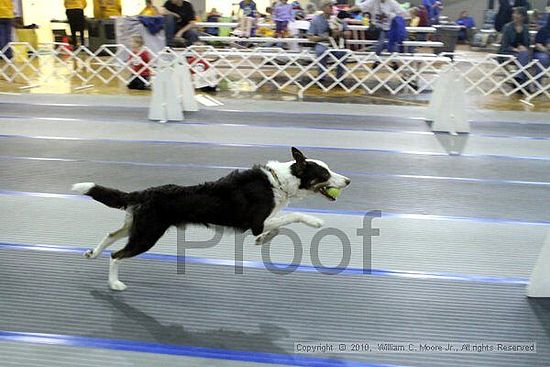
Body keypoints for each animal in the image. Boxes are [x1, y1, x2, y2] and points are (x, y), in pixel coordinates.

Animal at [72, 148, 350, 292]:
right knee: (117, 255)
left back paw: (92, 254)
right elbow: (291, 217)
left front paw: (262, 241)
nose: (348, 181)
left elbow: (277, 228)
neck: (280, 181)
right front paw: (314, 221)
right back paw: (114, 283)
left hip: (135, 225)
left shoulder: (261, 223)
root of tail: (144, 193)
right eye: (324, 174)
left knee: (110, 235)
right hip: (147, 235)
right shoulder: (255, 222)